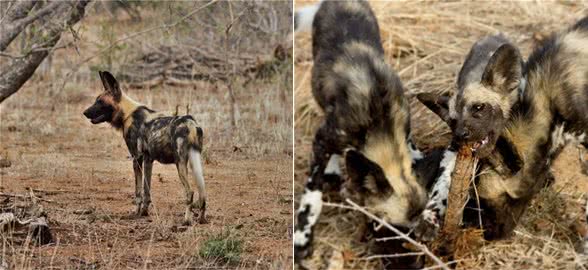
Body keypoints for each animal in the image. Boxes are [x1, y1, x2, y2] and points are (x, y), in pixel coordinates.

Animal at [82, 70, 207, 225]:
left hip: (180, 163)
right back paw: (201, 218)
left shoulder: (137, 159)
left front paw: (136, 213)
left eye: (100, 102)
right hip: (194, 161)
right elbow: (147, 190)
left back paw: (187, 220)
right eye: (96, 100)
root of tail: (191, 123)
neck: (127, 114)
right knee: (203, 192)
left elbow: (138, 192)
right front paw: (144, 212)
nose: (85, 112)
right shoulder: (148, 160)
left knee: (190, 192)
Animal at [292, 0, 428, 262]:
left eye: (415, 234)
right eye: (388, 229)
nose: (412, 263)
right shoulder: (324, 138)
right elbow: (312, 195)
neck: (380, 125)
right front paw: (302, 237)